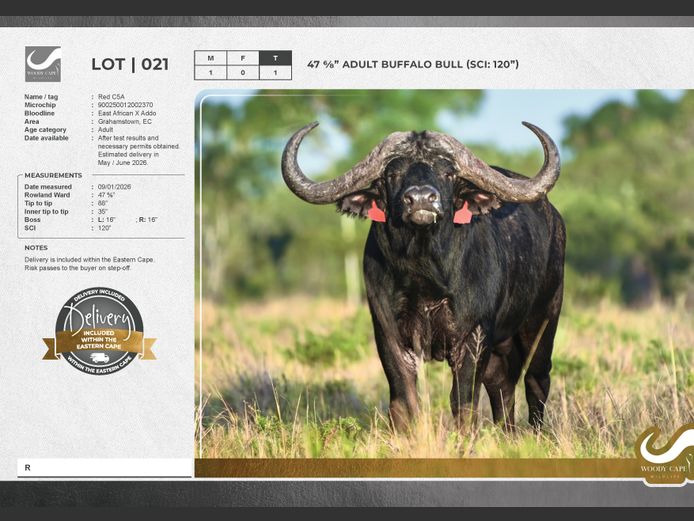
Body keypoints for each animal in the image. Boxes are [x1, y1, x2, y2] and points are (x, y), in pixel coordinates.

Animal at [281, 121, 565, 432]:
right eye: (392, 174)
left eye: (447, 172)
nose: (420, 200)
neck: (424, 274)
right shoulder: (389, 336)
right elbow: (404, 400)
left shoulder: (473, 337)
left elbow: (463, 402)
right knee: (501, 384)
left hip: (542, 321)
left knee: (536, 379)